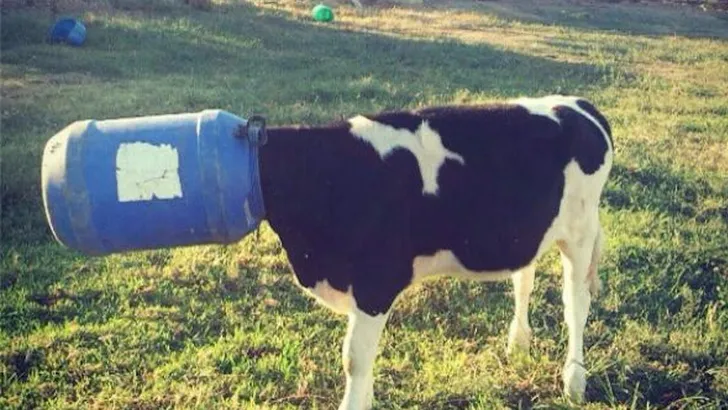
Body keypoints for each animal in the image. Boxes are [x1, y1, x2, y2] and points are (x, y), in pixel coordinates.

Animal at [256, 95, 614, 409]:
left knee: (576, 304)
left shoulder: (377, 282)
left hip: (580, 233)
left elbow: (354, 358)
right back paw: (518, 345)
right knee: (524, 281)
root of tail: (579, 105)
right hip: (532, 233)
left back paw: (574, 381)